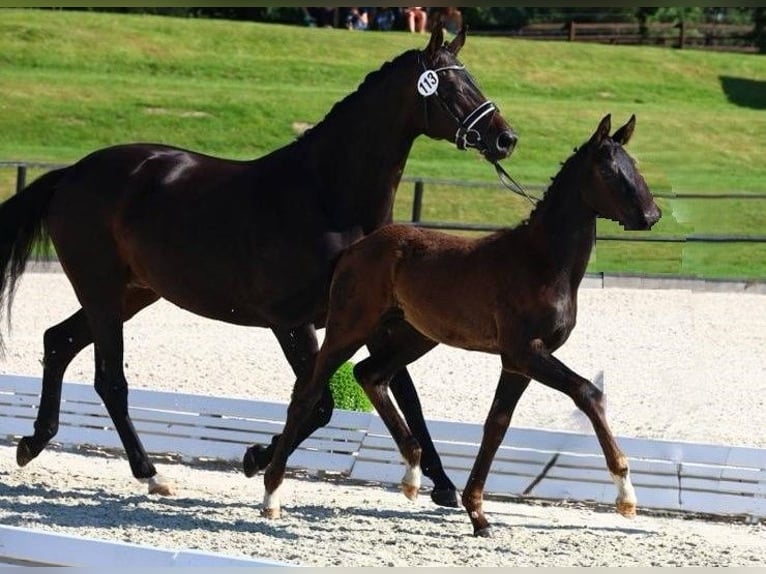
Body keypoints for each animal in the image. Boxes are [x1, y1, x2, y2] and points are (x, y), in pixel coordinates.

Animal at [0, 22, 520, 504]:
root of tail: (72, 174)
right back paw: (150, 473)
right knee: (110, 380)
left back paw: (32, 442)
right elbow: (320, 403)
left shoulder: (372, 318)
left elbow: (403, 392)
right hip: (102, 290)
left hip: (132, 293)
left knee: (59, 342)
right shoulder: (290, 322)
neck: (327, 198)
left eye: (472, 78)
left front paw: (443, 484)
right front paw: (256, 458)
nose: (505, 139)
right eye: (450, 87)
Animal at [264, 115, 660, 536]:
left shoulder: (517, 362)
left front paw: (478, 514)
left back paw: (412, 473)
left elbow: (496, 425)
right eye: (608, 169)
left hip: (414, 337)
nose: (651, 216)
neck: (542, 263)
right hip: (349, 328)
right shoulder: (526, 351)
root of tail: (353, 250)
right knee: (309, 391)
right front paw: (626, 495)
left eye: (634, 164)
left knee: (370, 374)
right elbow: (588, 393)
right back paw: (271, 495)